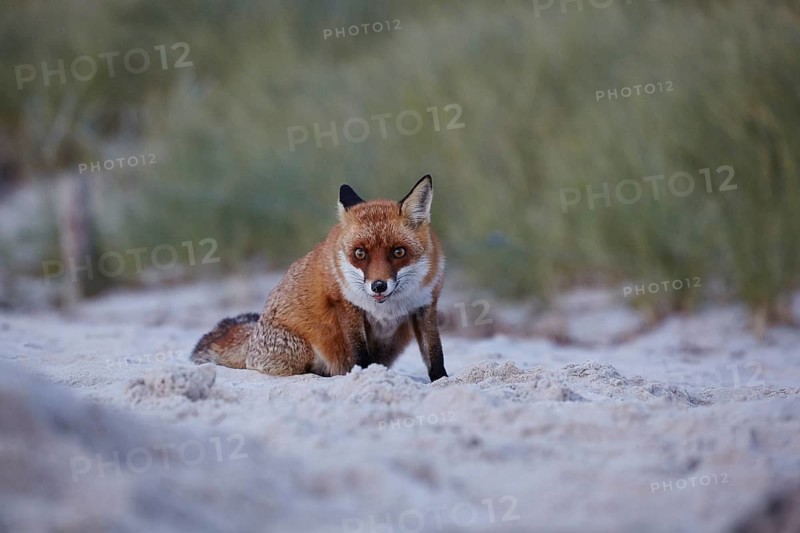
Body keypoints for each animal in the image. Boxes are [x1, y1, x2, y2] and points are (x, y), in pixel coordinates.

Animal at [190, 175, 448, 382]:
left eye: (398, 252)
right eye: (360, 254)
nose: (378, 286)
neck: (388, 307)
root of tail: (253, 334)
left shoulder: (425, 305)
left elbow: (435, 353)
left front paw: (441, 381)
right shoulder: (346, 304)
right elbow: (359, 352)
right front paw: (366, 376)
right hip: (297, 351)